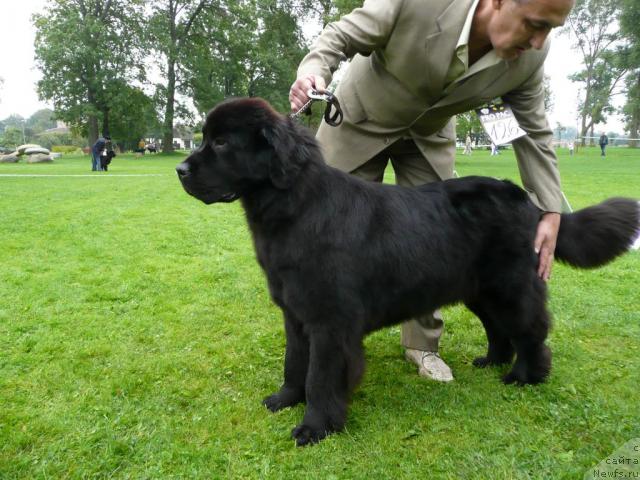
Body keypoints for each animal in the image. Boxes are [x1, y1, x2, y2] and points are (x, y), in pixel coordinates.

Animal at [176, 96, 640, 446]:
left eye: (221, 143)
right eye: (206, 139)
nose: (180, 169)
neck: (294, 206)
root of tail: (530, 202)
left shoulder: (330, 321)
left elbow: (321, 376)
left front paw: (315, 426)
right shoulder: (295, 312)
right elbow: (295, 361)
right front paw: (285, 398)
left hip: (509, 287)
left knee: (530, 330)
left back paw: (524, 376)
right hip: (478, 289)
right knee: (498, 329)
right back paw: (491, 361)